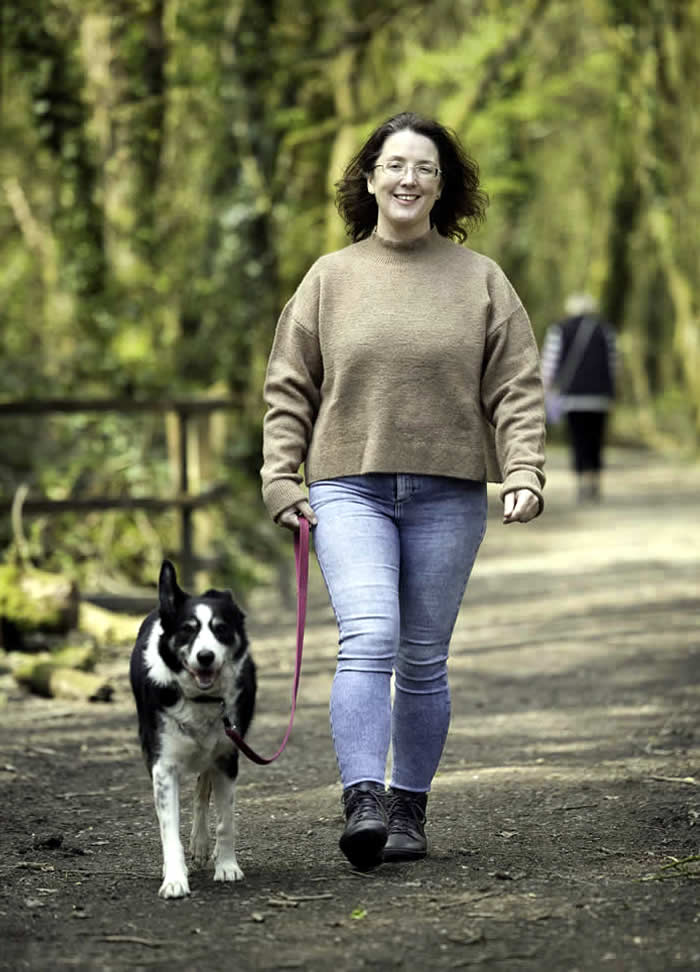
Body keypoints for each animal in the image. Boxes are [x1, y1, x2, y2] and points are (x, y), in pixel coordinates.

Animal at [129, 560, 254, 900]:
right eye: (187, 630)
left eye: (220, 629)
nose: (205, 656)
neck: (200, 698)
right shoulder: (162, 767)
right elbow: (168, 829)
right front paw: (174, 878)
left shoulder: (227, 758)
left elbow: (225, 820)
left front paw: (227, 866)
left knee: (202, 790)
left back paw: (203, 844)